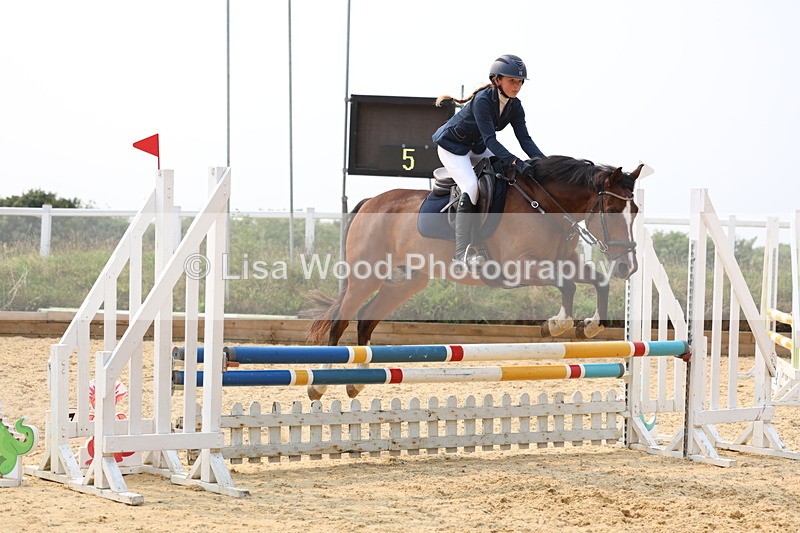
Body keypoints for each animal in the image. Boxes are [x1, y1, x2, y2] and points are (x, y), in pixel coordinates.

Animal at [305, 155, 644, 400]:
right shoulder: (519, 268)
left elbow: (597, 282)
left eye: (636, 210)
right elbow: (568, 285)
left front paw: (589, 327)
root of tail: (370, 202)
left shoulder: (565, 262)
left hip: (408, 282)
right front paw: (556, 324)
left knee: (365, 320)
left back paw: (356, 383)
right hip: (367, 276)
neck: (545, 207)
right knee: (339, 324)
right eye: (611, 209)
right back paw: (320, 384)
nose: (628, 267)